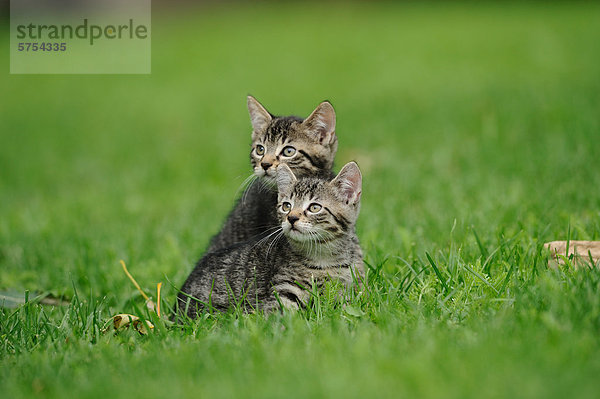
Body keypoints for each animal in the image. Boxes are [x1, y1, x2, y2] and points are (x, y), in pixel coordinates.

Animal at [177, 161, 366, 318]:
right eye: (286, 206)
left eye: (314, 207)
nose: (291, 218)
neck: (323, 258)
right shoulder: (283, 292)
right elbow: (280, 317)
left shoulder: (348, 288)